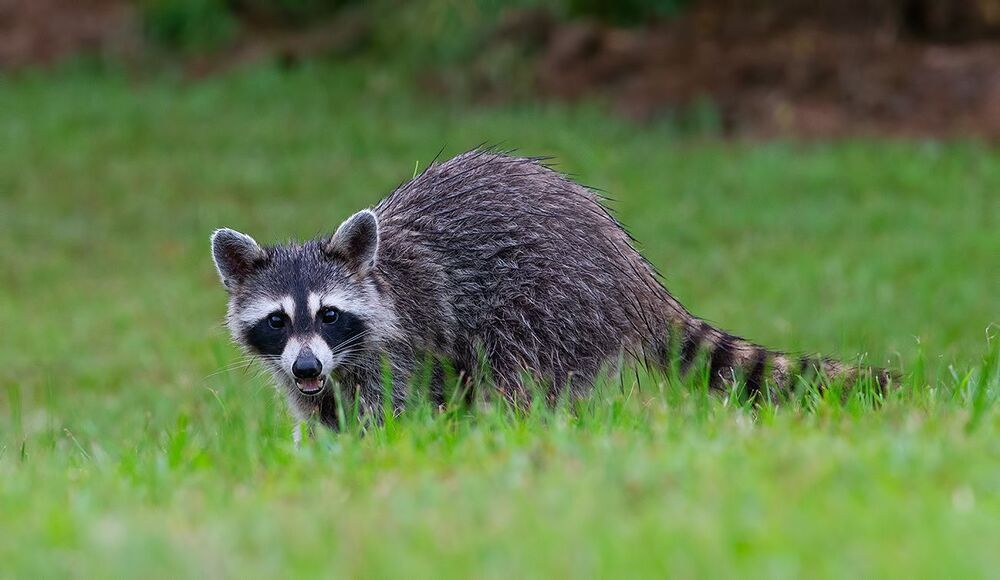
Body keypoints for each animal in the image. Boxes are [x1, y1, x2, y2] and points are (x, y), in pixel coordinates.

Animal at [211, 149, 892, 431]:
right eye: (277, 320)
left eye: (328, 314)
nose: (306, 365)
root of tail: (634, 274)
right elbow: (325, 413)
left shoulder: (401, 339)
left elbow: (392, 409)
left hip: (553, 305)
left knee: (519, 379)